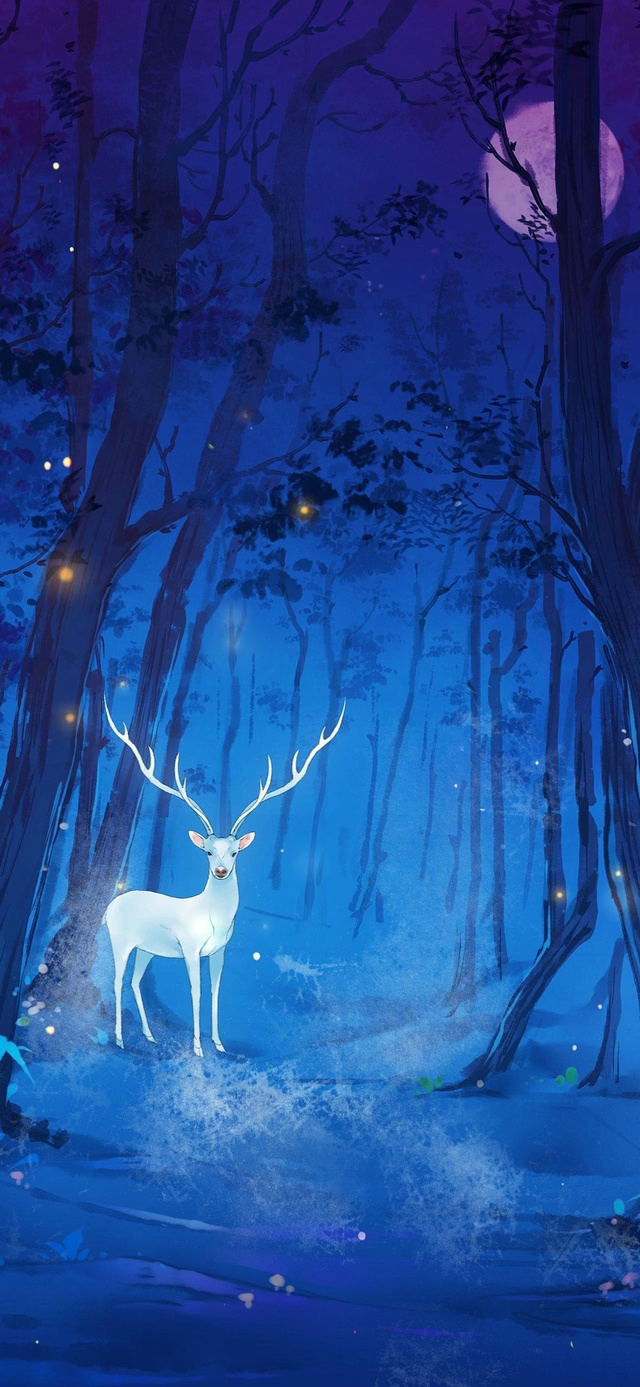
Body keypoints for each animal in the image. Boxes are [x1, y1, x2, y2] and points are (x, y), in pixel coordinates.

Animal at [102, 698, 345, 1057]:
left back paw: (149, 1035)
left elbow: (217, 990)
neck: (212, 919)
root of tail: (108, 908)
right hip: (120, 940)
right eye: (207, 851)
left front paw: (219, 1044)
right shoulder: (190, 948)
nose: (220, 871)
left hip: (147, 948)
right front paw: (198, 1048)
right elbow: (196, 991)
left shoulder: (220, 950)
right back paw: (119, 1038)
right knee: (117, 980)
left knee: (134, 980)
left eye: (234, 852)